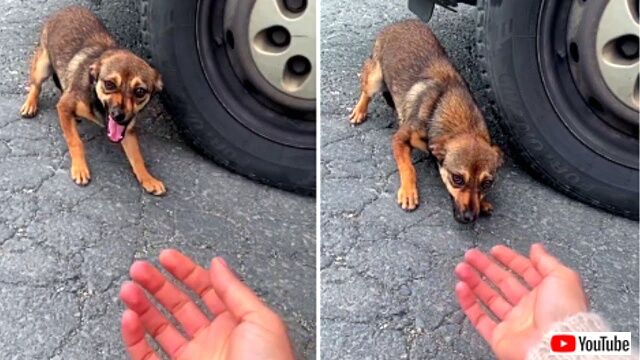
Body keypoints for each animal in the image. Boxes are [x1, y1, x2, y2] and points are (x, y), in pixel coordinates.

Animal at [21, 5, 168, 195]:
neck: (97, 104)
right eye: (110, 84)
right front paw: (79, 168)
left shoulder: (126, 130)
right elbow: (75, 141)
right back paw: (30, 104)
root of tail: (68, 7)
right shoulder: (65, 105)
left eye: (140, 91)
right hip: (43, 66)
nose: (119, 115)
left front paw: (148, 178)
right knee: (36, 85)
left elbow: (137, 156)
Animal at [352, 19, 502, 224]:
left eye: (487, 183)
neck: (462, 124)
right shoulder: (400, 139)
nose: (470, 218)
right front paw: (408, 191)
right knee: (366, 93)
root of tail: (400, 22)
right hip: (375, 77)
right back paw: (359, 111)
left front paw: (484, 202)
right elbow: (408, 167)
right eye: (457, 178)